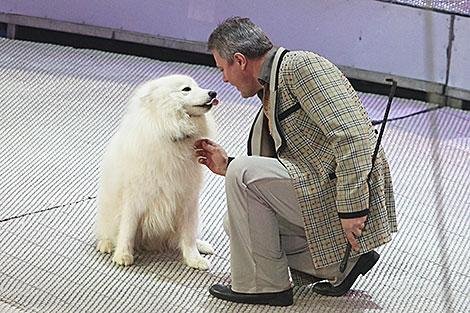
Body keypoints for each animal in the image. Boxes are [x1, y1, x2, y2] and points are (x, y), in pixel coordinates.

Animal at [97, 74, 218, 270]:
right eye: (186, 89)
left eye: (197, 86)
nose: (213, 93)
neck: (171, 131)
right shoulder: (135, 197)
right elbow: (127, 229)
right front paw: (123, 255)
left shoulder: (188, 199)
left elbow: (188, 235)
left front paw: (194, 259)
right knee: (108, 230)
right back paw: (106, 244)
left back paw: (202, 245)